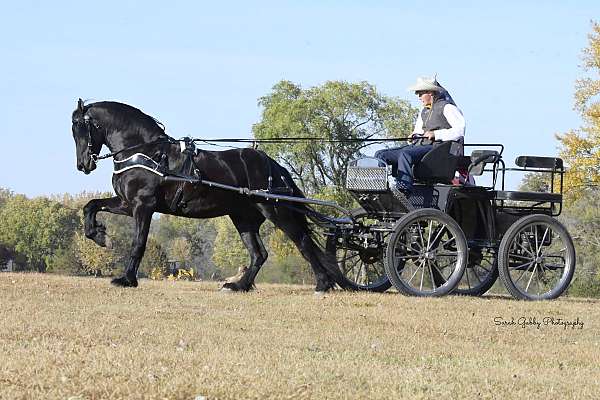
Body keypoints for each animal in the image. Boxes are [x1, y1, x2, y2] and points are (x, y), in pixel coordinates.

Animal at [71, 98, 352, 292]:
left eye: (80, 128)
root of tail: (274, 165)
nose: (84, 165)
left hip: (276, 211)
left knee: (303, 243)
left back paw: (323, 284)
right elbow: (91, 206)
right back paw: (238, 286)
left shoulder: (143, 206)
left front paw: (126, 279)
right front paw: (100, 236)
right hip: (243, 218)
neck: (146, 153)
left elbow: (138, 242)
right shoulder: (126, 203)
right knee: (259, 254)